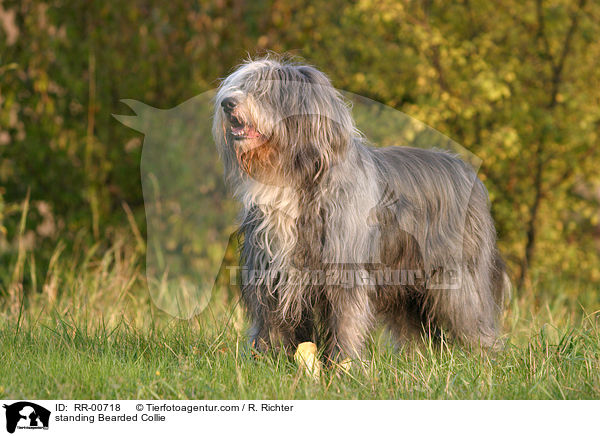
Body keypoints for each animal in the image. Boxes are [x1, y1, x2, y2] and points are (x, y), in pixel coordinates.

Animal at [213, 55, 508, 362]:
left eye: (265, 91)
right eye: (241, 84)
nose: (227, 103)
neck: (289, 179)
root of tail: (467, 172)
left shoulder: (344, 269)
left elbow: (346, 320)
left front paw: (345, 363)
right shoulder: (269, 273)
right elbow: (272, 323)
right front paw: (265, 360)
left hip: (457, 274)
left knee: (471, 314)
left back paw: (486, 356)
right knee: (415, 327)